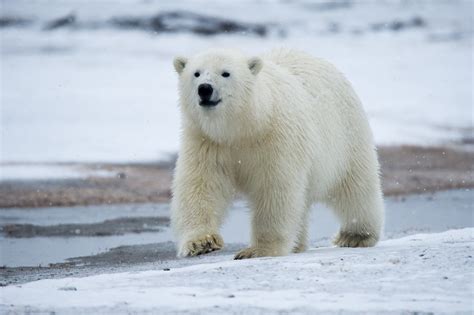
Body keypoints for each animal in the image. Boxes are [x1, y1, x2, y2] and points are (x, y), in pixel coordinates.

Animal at [170, 47, 386, 260]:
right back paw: (298, 244)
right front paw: (201, 242)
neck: (244, 127)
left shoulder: (276, 140)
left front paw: (258, 250)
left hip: (346, 135)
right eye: (196, 73)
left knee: (355, 186)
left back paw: (355, 235)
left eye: (225, 73)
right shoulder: (206, 141)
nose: (205, 89)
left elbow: (275, 189)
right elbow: (200, 185)